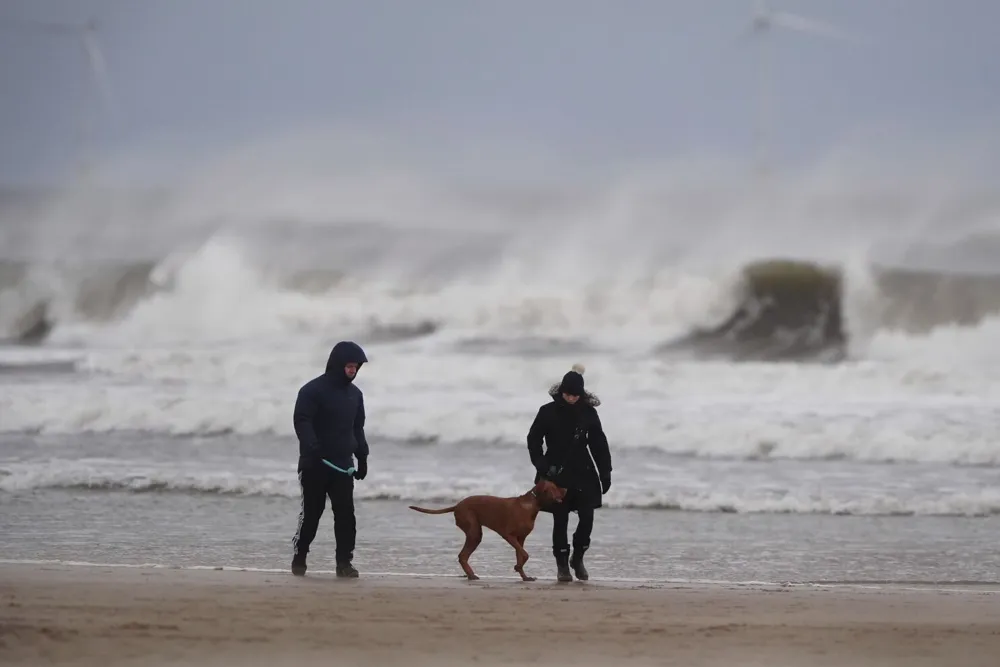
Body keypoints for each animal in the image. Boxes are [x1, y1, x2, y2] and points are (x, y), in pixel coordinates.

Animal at [404, 480, 564, 580]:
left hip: (474, 533)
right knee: (462, 556)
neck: (531, 505)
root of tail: (457, 505)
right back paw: (471, 575)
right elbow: (525, 554)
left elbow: (521, 555)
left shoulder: (521, 539)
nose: (566, 489)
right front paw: (518, 567)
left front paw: (524, 576)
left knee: (463, 556)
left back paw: (470, 575)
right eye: (555, 487)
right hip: (474, 532)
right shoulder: (508, 535)